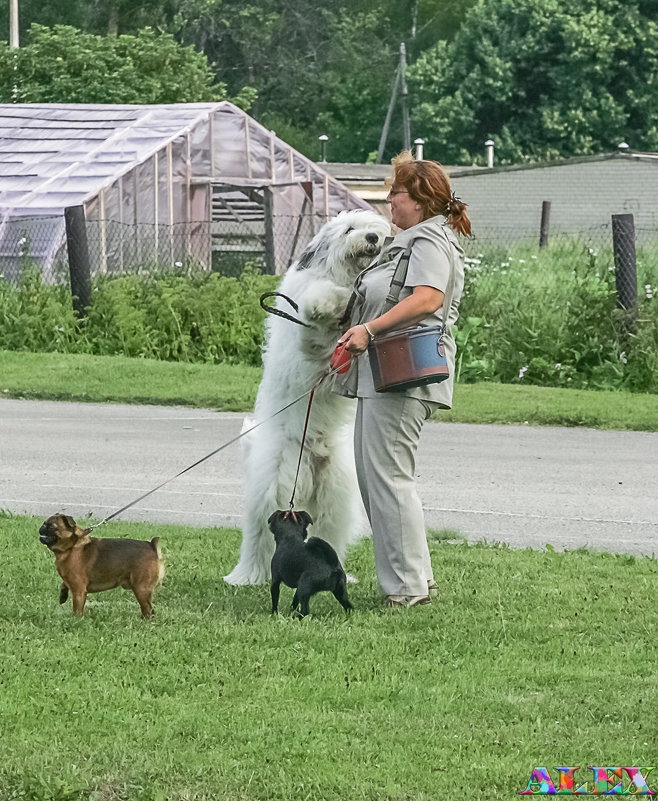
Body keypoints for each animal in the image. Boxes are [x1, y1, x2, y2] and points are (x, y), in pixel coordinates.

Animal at [226, 209, 390, 584]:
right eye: (349, 229)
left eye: (375, 228)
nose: (372, 237)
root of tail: (313, 456)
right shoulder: (310, 341)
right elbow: (320, 307)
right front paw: (332, 302)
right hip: (275, 487)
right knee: (257, 537)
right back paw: (248, 576)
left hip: (336, 498)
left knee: (328, 533)